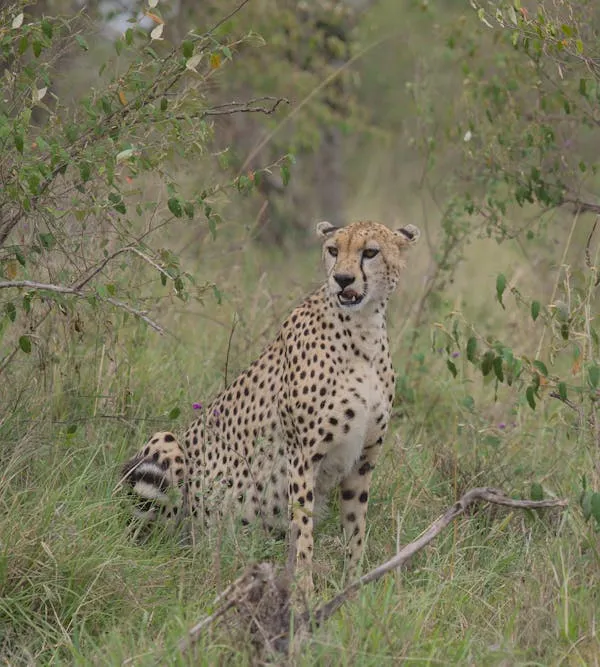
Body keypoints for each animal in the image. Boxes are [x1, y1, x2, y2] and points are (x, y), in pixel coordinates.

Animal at [120, 219, 420, 594]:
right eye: (333, 250)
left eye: (370, 252)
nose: (342, 279)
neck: (361, 330)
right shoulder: (302, 456)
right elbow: (302, 528)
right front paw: (304, 590)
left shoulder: (362, 462)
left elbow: (355, 529)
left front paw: (353, 587)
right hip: (167, 448)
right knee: (159, 538)